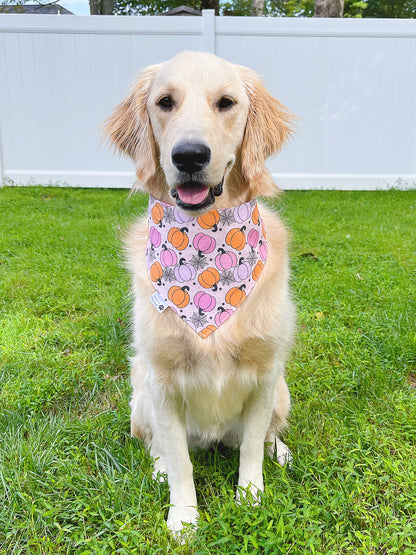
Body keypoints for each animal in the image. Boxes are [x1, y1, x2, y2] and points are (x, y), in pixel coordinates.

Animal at [104, 52, 296, 540]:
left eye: (226, 102)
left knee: (267, 433)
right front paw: (185, 518)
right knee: (157, 444)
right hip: (139, 393)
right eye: (165, 102)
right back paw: (157, 468)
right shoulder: (162, 381)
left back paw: (280, 452)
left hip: (282, 389)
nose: (189, 155)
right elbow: (179, 461)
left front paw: (251, 498)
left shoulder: (265, 372)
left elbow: (251, 445)